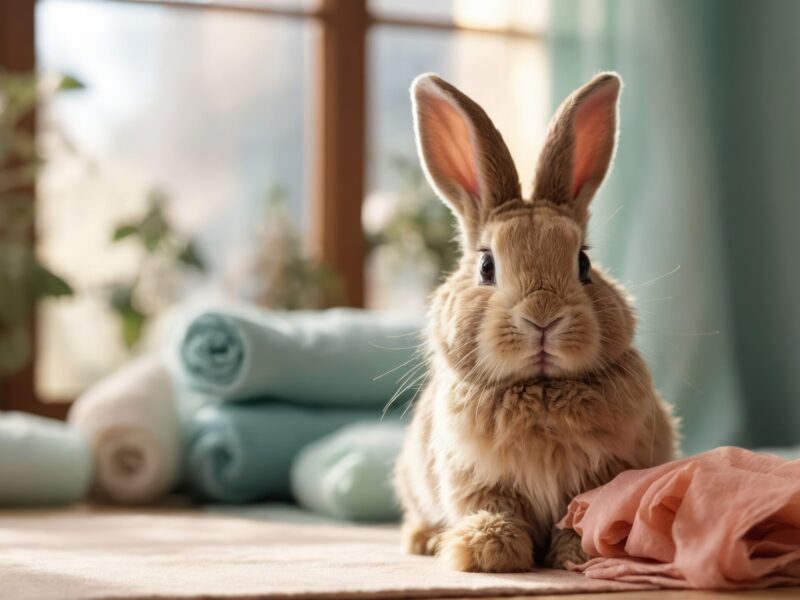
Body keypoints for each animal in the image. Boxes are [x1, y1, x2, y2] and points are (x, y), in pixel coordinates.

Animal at [394, 72, 679, 573]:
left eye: (583, 263)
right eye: (486, 266)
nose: (543, 318)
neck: (542, 391)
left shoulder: (604, 475)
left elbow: (582, 512)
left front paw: (579, 553)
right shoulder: (478, 479)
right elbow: (495, 508)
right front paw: (487, 550)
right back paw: (424, 540)